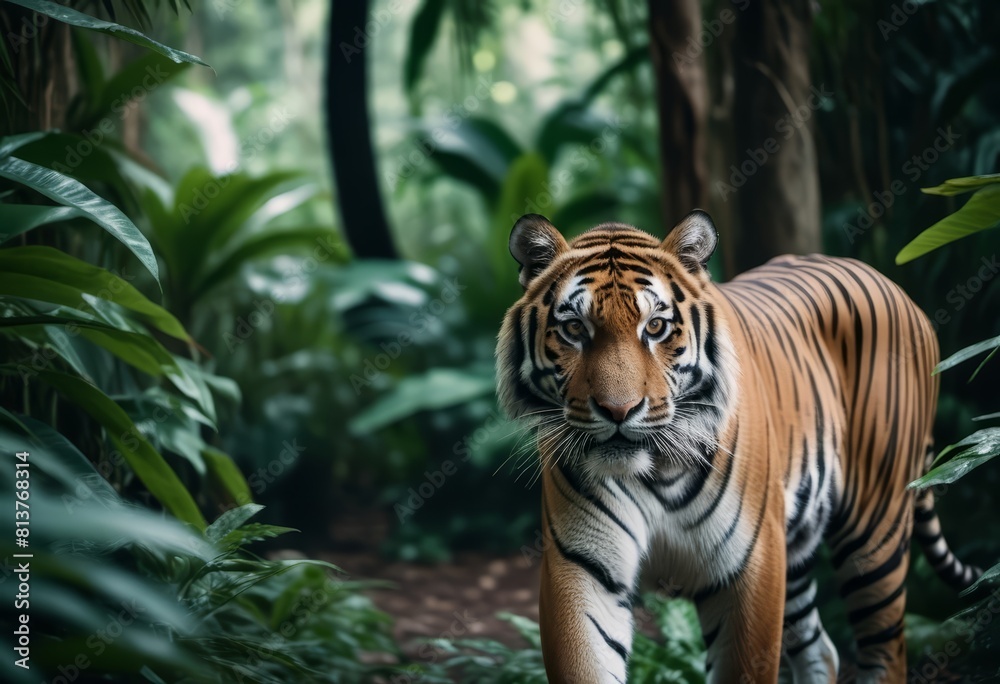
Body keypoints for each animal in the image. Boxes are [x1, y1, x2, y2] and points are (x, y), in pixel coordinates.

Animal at [495, 211, 980, 683]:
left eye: (655, 327)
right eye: (575, 329)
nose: (619, 410)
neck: (654, 472)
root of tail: (892, 283)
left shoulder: (750, 566)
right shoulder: (581, 568)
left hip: (875, 530)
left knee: (886, 652)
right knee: (820, 649)